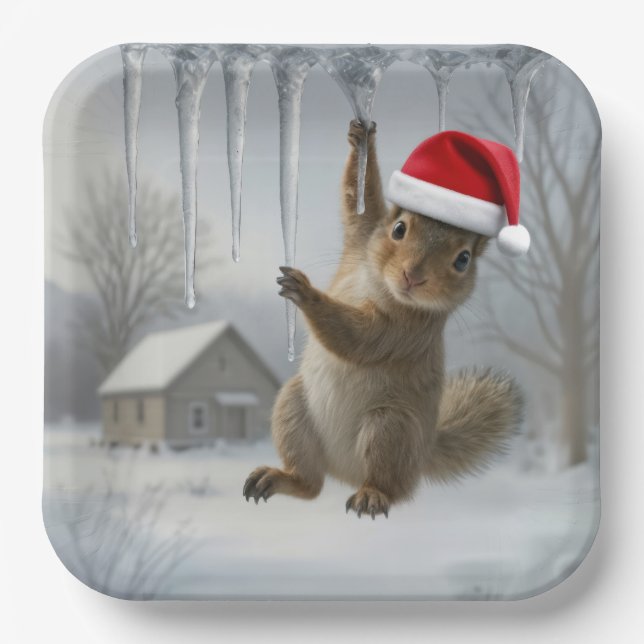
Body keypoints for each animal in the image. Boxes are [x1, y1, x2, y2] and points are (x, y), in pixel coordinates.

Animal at [243, 120, 524, 519]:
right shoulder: (362, 236)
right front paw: (362, 138)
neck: (381, 284)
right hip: (293, 408)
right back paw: (279, 479)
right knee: (310, 486)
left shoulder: (405, 331)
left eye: (463, 259)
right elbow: (359, 203)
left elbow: (359, 337)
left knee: (392, 486)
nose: (413, 276)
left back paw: (371, 496)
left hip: (390, 430)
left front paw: (307, 294)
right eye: (399, 229)